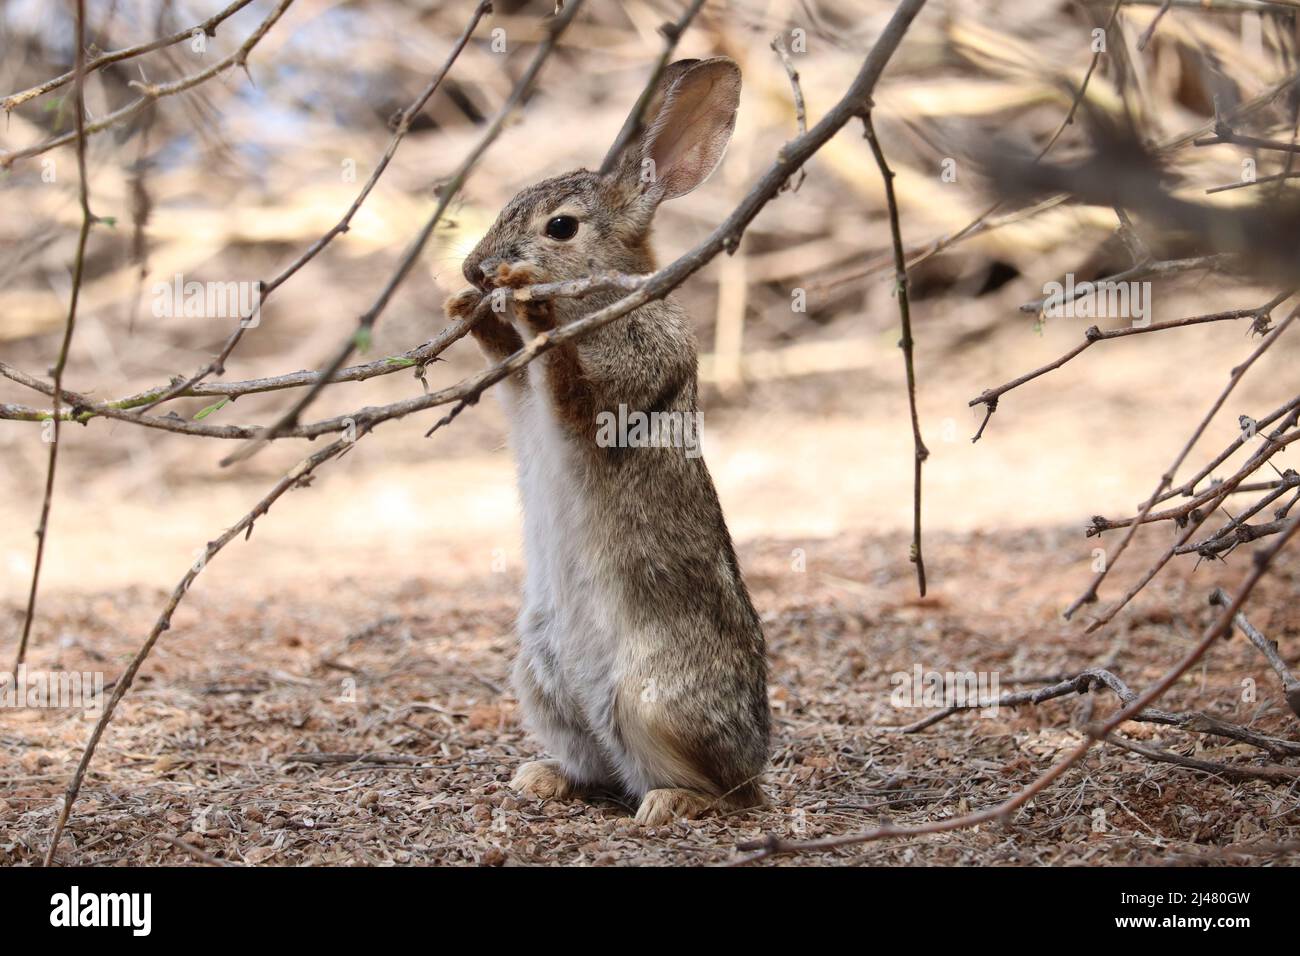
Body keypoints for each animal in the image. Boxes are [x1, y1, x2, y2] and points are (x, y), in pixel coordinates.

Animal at [447, 55, 769, 827]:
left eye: (561, 228)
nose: (475, 268)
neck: (601, 300)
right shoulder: (518, 395)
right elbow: (510, 367)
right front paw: (475, 308)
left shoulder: (618, 387)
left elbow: (571, 384)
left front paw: (534, 310)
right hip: (540, 679)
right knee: (595, 766)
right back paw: (541, 778)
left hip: (655, 698)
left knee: (728, 792)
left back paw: (671, 802)